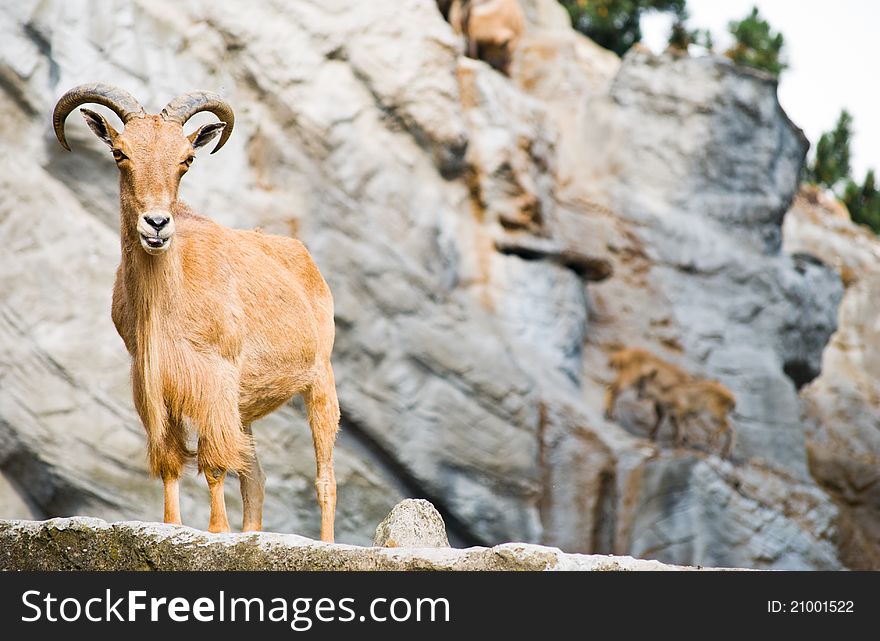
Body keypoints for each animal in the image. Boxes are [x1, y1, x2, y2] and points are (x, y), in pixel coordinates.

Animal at [52, 81, 340, 540]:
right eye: (120, 153)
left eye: (186, 159)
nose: (156, 224)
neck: (170, 302)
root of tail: (301, 255)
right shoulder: (153, 383)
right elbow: (172, 462)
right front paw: (170, 525)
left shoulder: (214, 378)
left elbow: (214, 461)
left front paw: (217, 530)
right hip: (246, 405)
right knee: (255, 478)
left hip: (320, 378)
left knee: (324, 478)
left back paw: (325, 539)